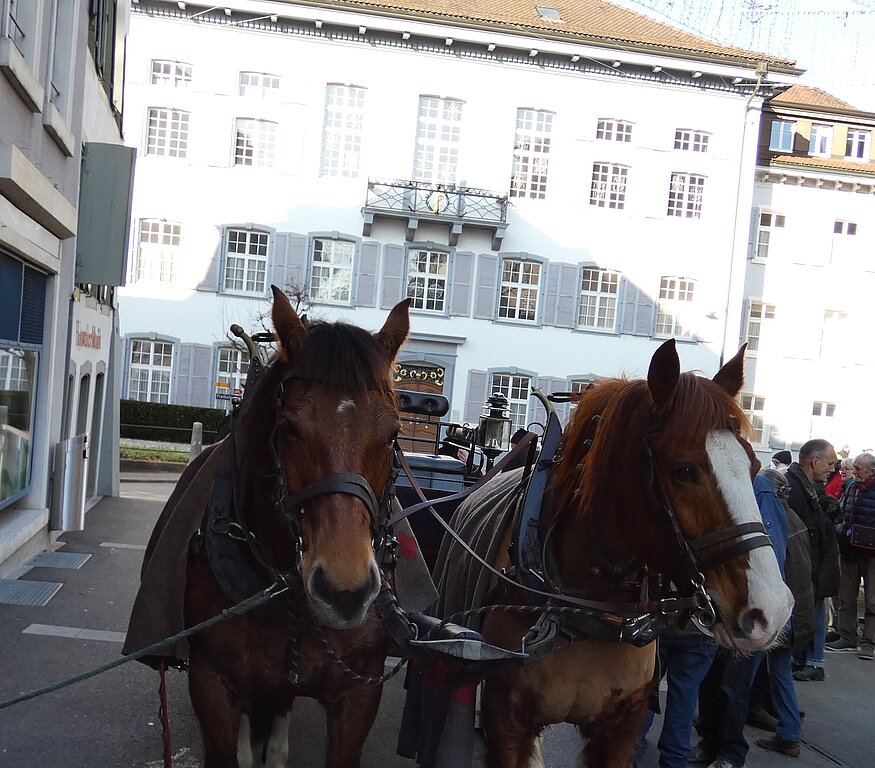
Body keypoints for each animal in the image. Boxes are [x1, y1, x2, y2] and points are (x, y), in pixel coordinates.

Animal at [434, 340, 796, 768]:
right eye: (684, 471)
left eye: (754, 465)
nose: (772, 610)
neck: (585, 603)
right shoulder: (507, 720)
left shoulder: (624, 725)